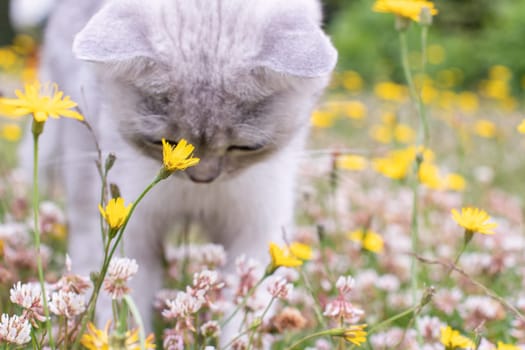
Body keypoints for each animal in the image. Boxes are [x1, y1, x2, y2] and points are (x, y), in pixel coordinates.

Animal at [29, 0, 336, 330]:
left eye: (245, 147)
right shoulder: (130, 222)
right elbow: (125, 296)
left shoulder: (257, 222)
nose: (202, 178)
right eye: (164, 142)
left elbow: (246, 302)